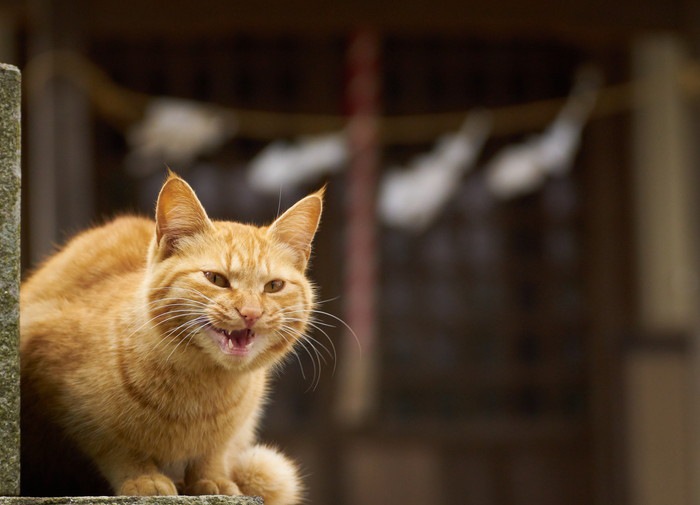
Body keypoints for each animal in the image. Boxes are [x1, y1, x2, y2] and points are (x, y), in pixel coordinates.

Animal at [18, 171, 320, 502]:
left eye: (274, 286)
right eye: (216, 279)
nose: (251, 312)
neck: (199, 391)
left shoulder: (234, 431)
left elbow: (214, 451)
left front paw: (212, 479)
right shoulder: (62, 392)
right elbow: (117, 445)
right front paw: (143, 477)